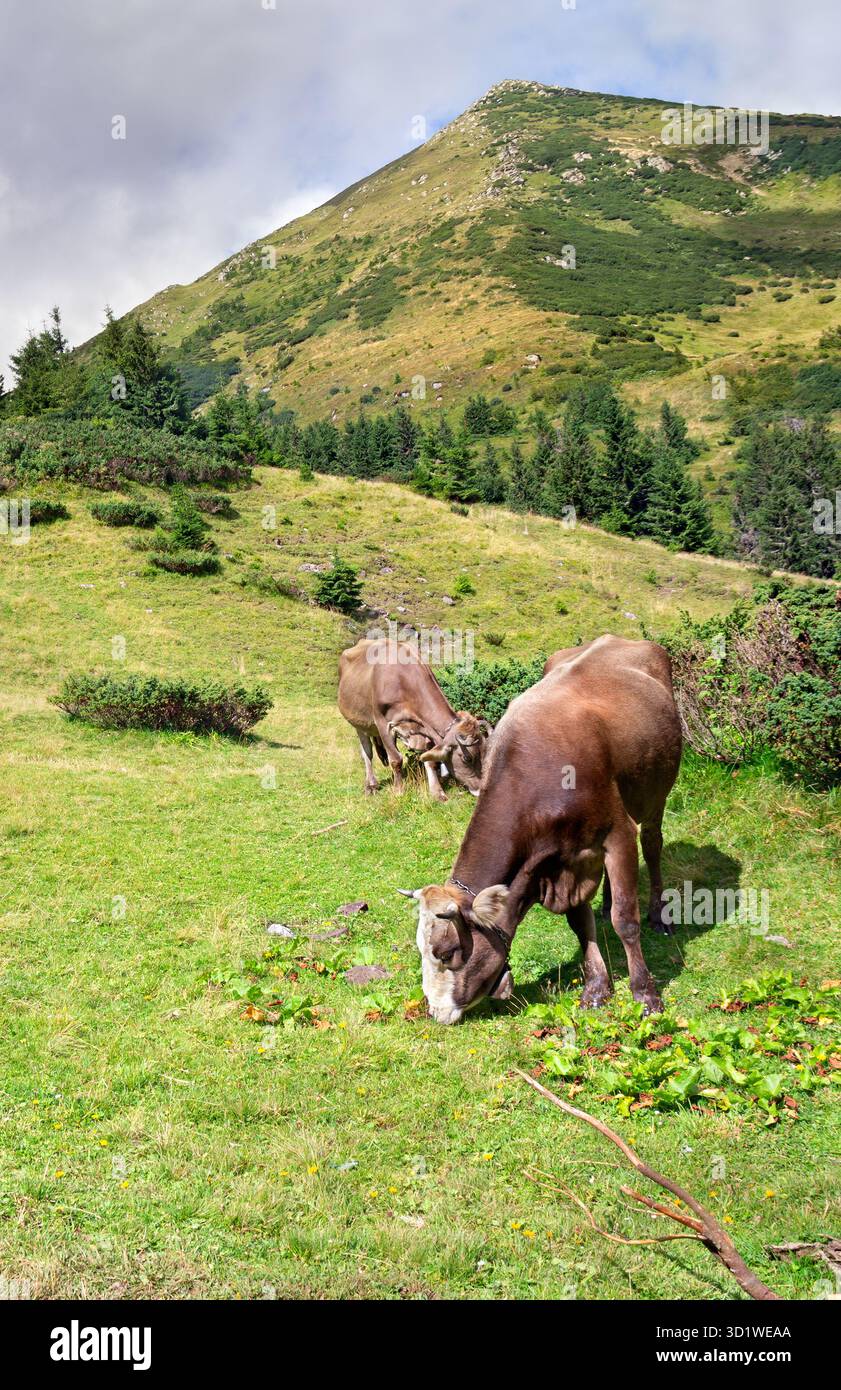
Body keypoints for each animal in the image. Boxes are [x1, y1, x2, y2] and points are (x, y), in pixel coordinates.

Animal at [338, 637, 491, 801]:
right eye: (467, 758)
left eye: (485, 753)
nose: (480, 790)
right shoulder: (383, 723)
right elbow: (396, 760)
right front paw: (399, 791)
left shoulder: (424, 727)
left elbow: (429, 760)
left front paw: (437, 792)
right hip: (359, 723)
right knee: (367, 753)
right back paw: (371, 785)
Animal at [402, 634, 682, 1023]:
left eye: (446, 952)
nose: (436, 1012)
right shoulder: (564, 862)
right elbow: (579, 924)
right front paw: (597, 987)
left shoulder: (618, 833)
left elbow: (626, 919)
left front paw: (645, 994)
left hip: (656, 792)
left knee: (653, 845)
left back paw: (659, 915)